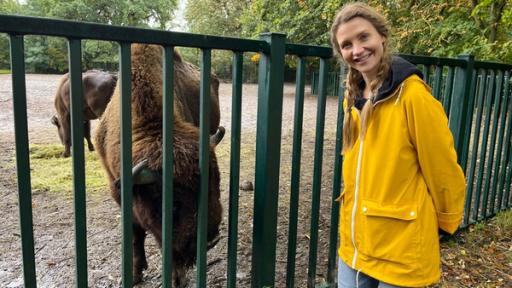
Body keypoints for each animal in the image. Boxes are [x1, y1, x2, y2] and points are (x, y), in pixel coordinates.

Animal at [95, 44, 223, 286]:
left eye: (216, 187)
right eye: (172, 204)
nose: (210, 240)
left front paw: (176, 277)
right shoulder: (118, 189)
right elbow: (136, 234)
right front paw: (136, 274)